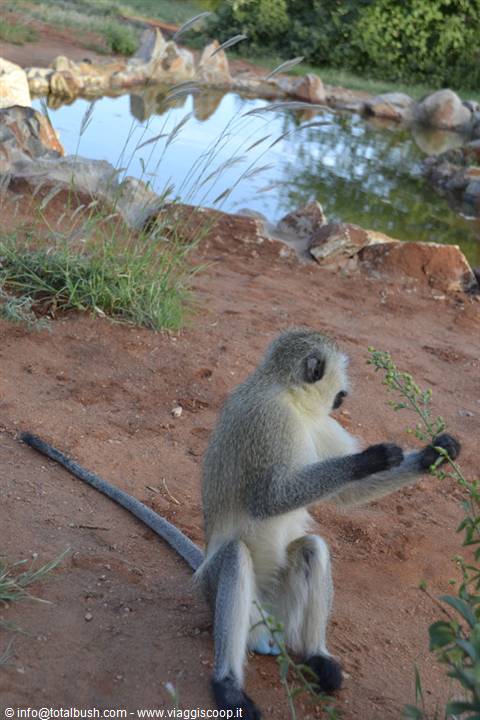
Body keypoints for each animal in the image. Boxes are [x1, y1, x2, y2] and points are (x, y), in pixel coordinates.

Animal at [20, 328, 461, 720]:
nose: (346, 394)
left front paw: (435, 454)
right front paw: (369, 458)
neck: (289, 399)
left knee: (312, 548)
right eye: (341, 376)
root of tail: (266, 632)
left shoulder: (318, 423)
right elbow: (268, 499)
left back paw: (317, 658)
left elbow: (346, 496)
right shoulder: (268, 422)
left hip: (282, 614)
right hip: (219, 596)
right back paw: (228, 685)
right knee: (235, 556)